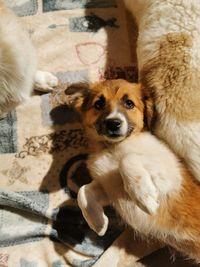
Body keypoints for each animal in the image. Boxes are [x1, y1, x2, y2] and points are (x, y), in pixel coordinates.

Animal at [65, 79, 200, 264]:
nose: (113, 123)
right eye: (99, 103)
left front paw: (145, 198)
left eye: (129, 103)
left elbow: (128, 159)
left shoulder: (170, 177)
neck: (112, 148)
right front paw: (98, 222)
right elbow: (84, 191)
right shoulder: (109, 188)